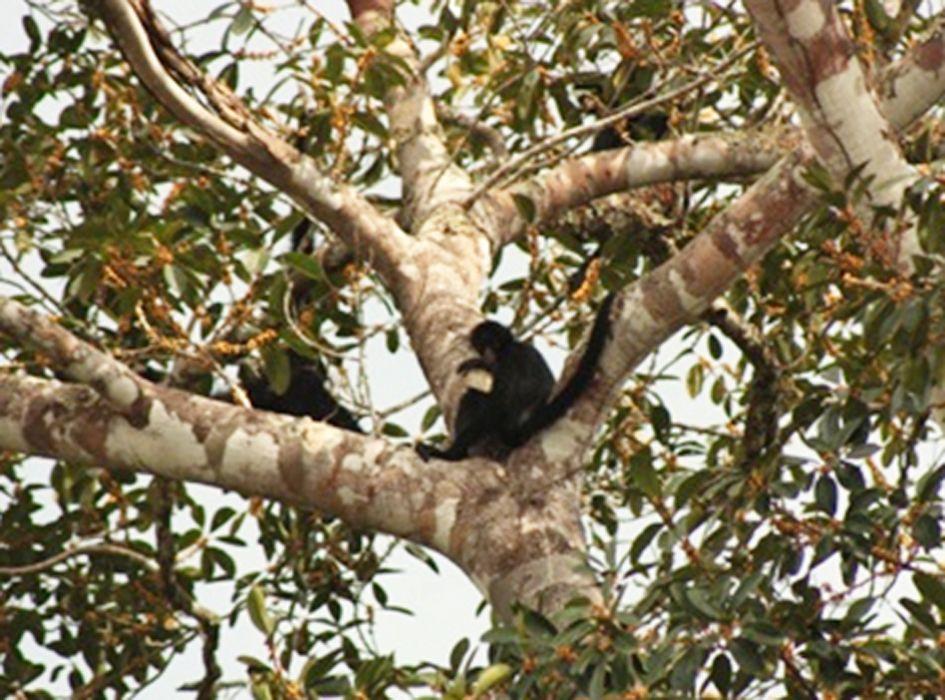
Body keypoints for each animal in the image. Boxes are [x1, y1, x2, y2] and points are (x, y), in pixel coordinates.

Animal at [416, 294, 616, 462]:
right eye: (482, 345)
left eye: (494, 343)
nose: (488, 353)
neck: (510, 346)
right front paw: (485, 364)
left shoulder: (510, 356)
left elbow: (498, 403)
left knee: (474, 397)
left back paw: (454, 454)